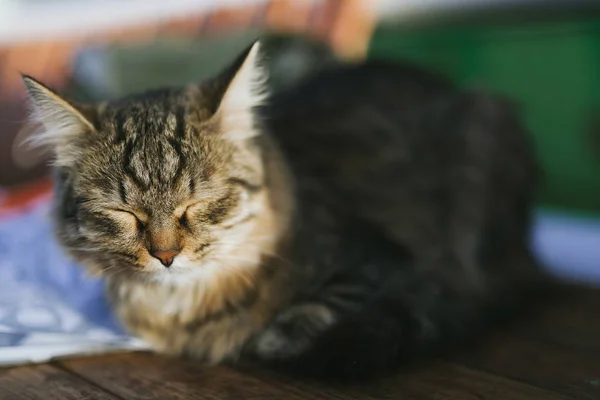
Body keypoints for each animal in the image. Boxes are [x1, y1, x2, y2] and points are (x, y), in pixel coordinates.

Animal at [22, 40, 544, 382]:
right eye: (125, 214)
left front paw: (272, 337)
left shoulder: (385, 259)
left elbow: (313, 310)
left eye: (198, 204)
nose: (165, 256)